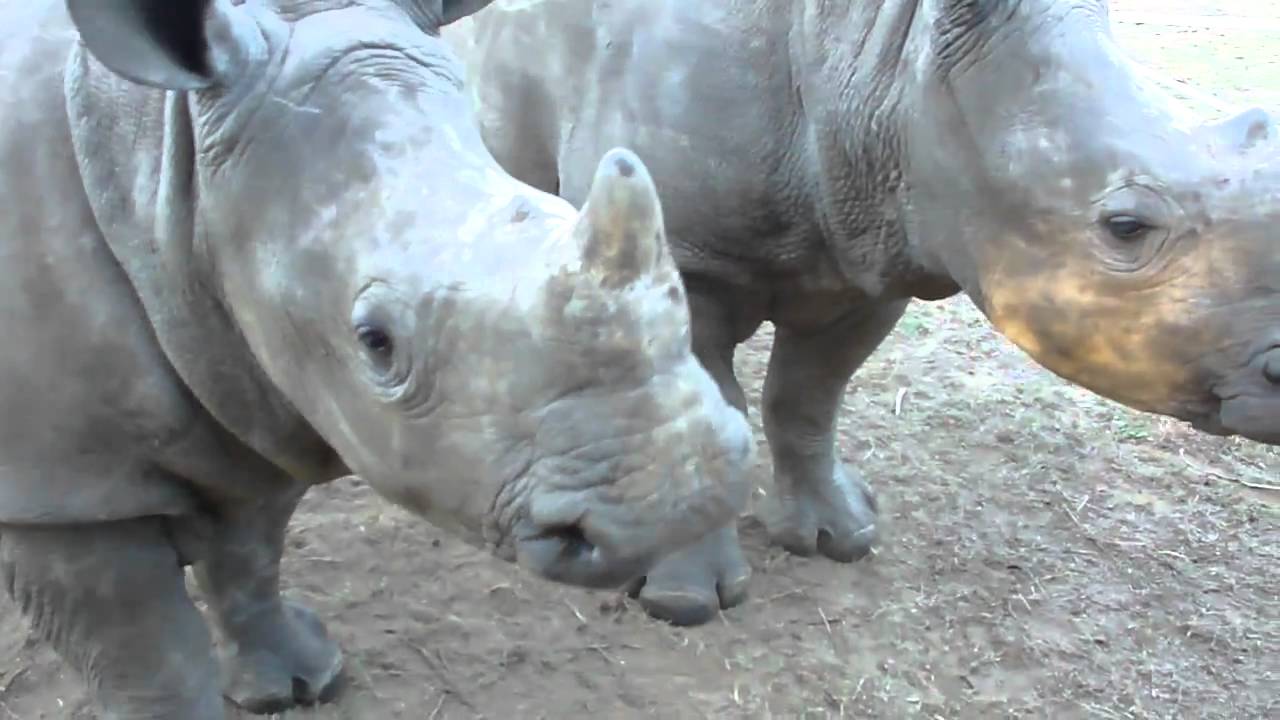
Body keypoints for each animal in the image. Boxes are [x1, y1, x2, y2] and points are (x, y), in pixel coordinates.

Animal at [0, 0, 754, 716]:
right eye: (375, 341)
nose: (681, 499)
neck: (160, 156)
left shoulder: (261, 380)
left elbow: (249, 557)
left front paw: (301, 681)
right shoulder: (65, 487)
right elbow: (150, 659)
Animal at [447, 0, 1280, 626]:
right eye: (1125, 227)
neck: (893, 61)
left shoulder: (879, 241)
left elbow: (807, 397)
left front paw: (840, 535)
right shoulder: (683, 252)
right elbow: (709, 403)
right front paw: (684, 599)